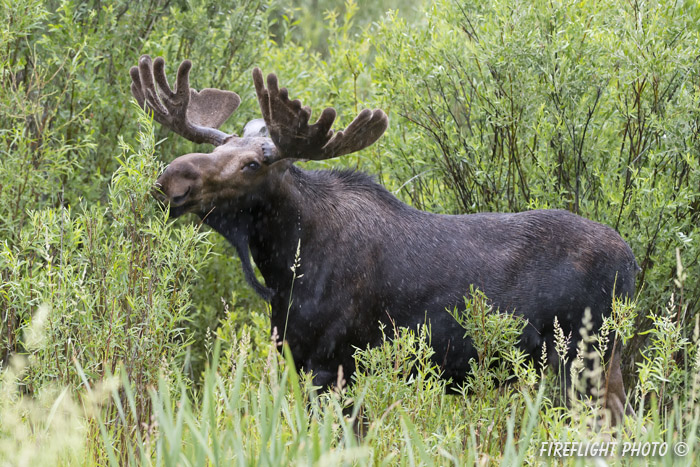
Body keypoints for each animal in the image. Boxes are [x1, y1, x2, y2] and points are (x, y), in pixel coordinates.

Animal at [129, 55, 636, 424]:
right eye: (219, 147)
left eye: (252, 164)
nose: (171, 178)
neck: (284, 265)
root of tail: (633, 264)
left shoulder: (331, 365)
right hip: (603, 363)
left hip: (579, 359)